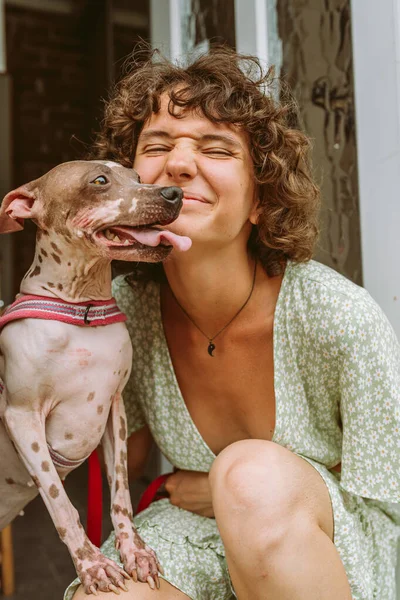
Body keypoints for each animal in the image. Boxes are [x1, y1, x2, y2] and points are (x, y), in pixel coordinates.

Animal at [0, 161, 192, 596]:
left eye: (137, 177)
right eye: (99, 181)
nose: (174, 193)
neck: (81, 310)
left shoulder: (113, 410)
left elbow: (120, 493)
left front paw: (134, 551)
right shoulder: (21, 418)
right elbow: (61, 504)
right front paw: (92, 564)